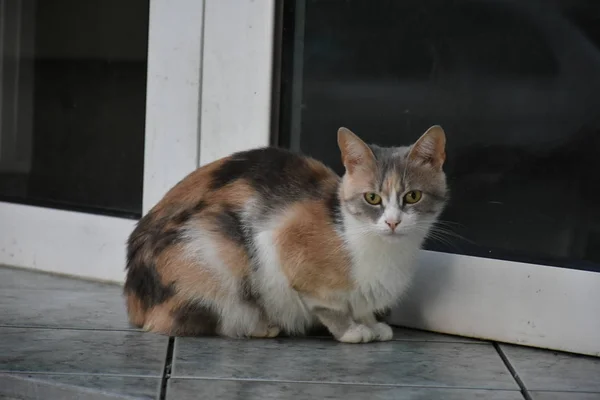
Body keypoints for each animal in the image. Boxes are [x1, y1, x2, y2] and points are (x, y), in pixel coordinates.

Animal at [124, 126, 448, 344]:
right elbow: (328, 303)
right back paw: (260, 326)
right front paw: (352, 330)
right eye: (372, 198)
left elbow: (363, 305)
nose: (393, 222)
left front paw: (372, 323)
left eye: (413, 196)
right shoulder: (282, 238)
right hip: (214, 249)